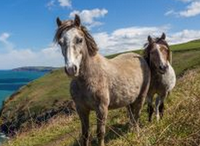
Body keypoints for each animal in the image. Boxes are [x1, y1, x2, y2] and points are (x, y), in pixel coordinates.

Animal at [54, 14, 151, 146]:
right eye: (60, 42)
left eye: (79, 39)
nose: (71, 69)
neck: (87, 79)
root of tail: (140, 57)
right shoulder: (81, 109)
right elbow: (85, 135)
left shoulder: (101, 109)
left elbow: (100, 133)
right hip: (129, 100)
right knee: (131, 114)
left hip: (141, 96)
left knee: (136, 115)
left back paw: (136, 133)